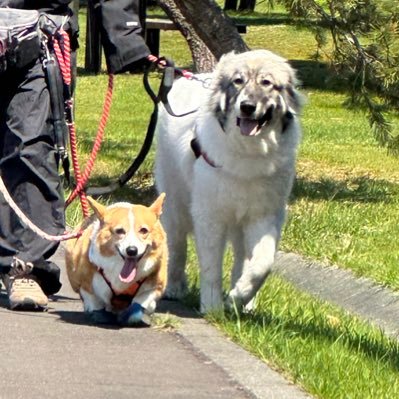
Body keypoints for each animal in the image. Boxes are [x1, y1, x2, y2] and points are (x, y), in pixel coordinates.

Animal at [65, 195, 168, 328]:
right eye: (120, 231)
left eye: (144, 230)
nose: (131, 250)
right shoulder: (87, 286)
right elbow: (95, 303)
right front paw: (99, 314)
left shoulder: (154, 288)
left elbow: (138, 306)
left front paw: (130, 316)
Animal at [155, 49, 302, 312]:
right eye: (238, 81)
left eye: (267, 83)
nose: (247, 107)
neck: (249, 151)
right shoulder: (210, 216)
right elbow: (211, 266)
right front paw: (212, 307)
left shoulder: (263, 216)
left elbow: (262, 263)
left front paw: (239, 295)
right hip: (176, 203)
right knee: (177, 245)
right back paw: (174, 287)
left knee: (242, 256)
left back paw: (244, 302)